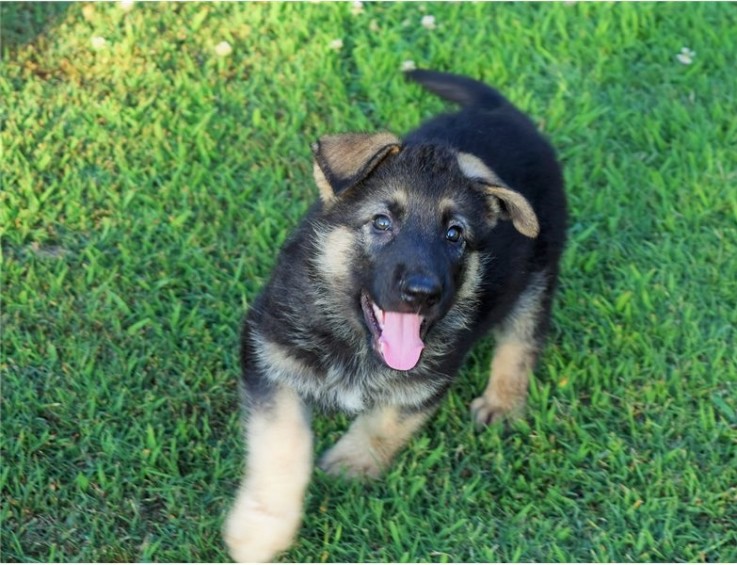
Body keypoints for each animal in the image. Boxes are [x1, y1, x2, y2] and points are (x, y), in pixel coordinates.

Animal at [227, 69, 568, 560]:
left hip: (538, 276)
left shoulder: (425, 381)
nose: (424, 293)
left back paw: (502, 403)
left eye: (454, 234)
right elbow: (284, 442)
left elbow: (386, 423)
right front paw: (261, 528)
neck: (356, 343)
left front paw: (351, 464)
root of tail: (503, 112)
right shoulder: (270, 356)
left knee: (521, 341)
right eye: (382, 223)